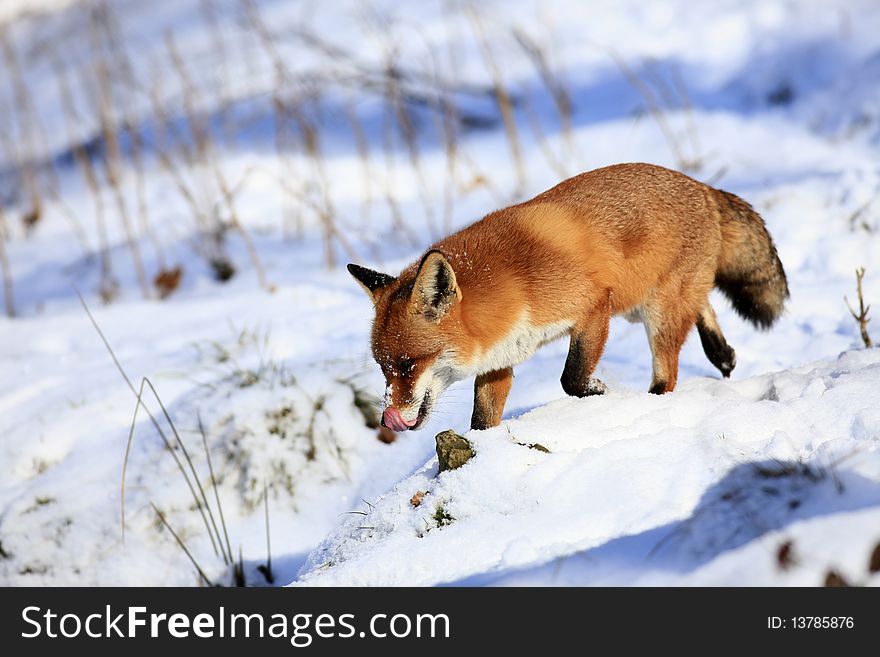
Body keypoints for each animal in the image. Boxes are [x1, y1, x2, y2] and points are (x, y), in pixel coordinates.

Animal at [348, 163, 788, 430]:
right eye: (384, 368)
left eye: (408, 365)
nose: (387, 418)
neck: (513, 285)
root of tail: (702, 186)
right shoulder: (499, 361)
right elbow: (482, 421)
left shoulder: (593, 307)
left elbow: (571, 378)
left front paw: (599, 392)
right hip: (642, 305)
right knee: (704, 305)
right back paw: (722, 353)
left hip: (655, 314)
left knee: (668, 373)